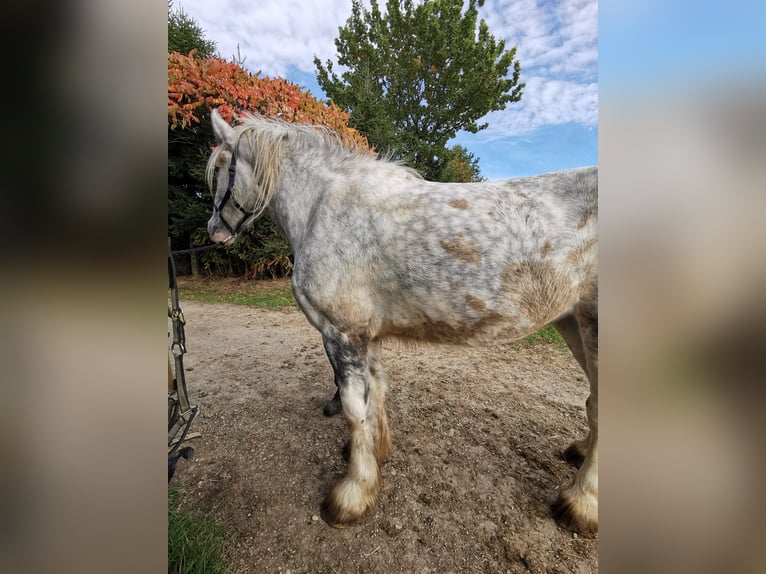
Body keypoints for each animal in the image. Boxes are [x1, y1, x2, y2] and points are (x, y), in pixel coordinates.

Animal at [205, 109, 598, 535]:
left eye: (222, 167)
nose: (214, 231)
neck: (323, 208)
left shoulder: (341, 333)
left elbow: (353, 407)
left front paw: (352, 494)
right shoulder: (367, 336)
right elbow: (376, 393)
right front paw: (374, 454)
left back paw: (580, 504)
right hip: (573, 324)